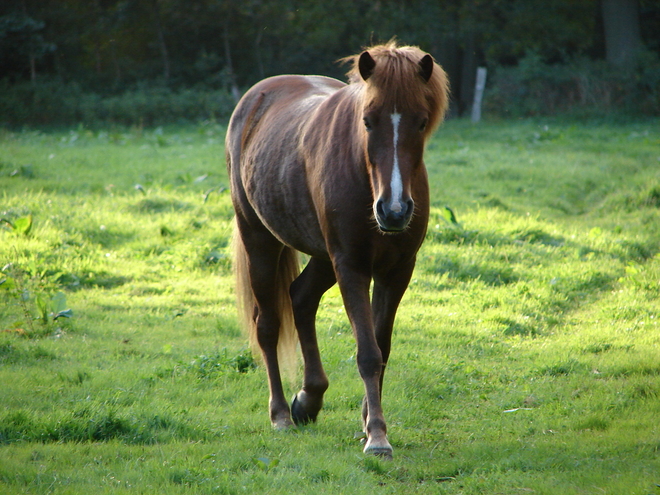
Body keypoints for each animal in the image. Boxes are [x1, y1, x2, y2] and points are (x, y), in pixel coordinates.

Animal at [226, 40, 448, 460]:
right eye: (368, 120)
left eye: (421, 121)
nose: (394, 210)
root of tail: (255, 98)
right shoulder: (351, 266)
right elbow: (368, 353)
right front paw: (377, 436)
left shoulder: (397, 270)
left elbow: (382, 347)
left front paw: (367, 421)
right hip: (260, 239)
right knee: (268, 324)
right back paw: (281, 414)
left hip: (322, 258)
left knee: (300, 297)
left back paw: (308, 400)